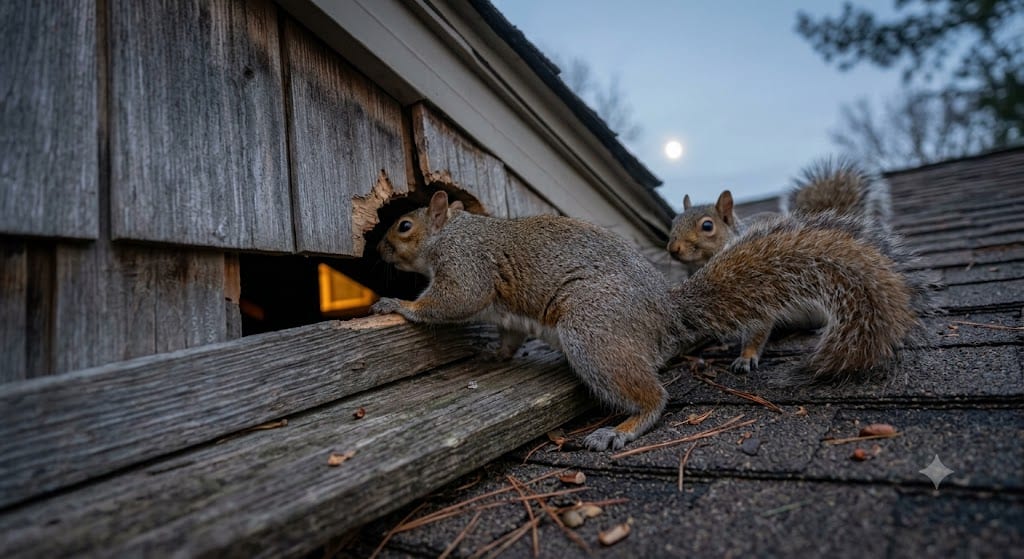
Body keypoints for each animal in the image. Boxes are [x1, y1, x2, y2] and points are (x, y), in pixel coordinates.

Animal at [372, 190, 930, 451]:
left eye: (404, 225)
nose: (378, 251)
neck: (451, 233)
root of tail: (666, 316)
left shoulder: (467, 266)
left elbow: (453, 300)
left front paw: (398, 305)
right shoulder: (505, 313)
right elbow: (506, 334)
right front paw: (494, 353)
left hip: (592, 329)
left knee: (654, 397)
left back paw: (621, 428)